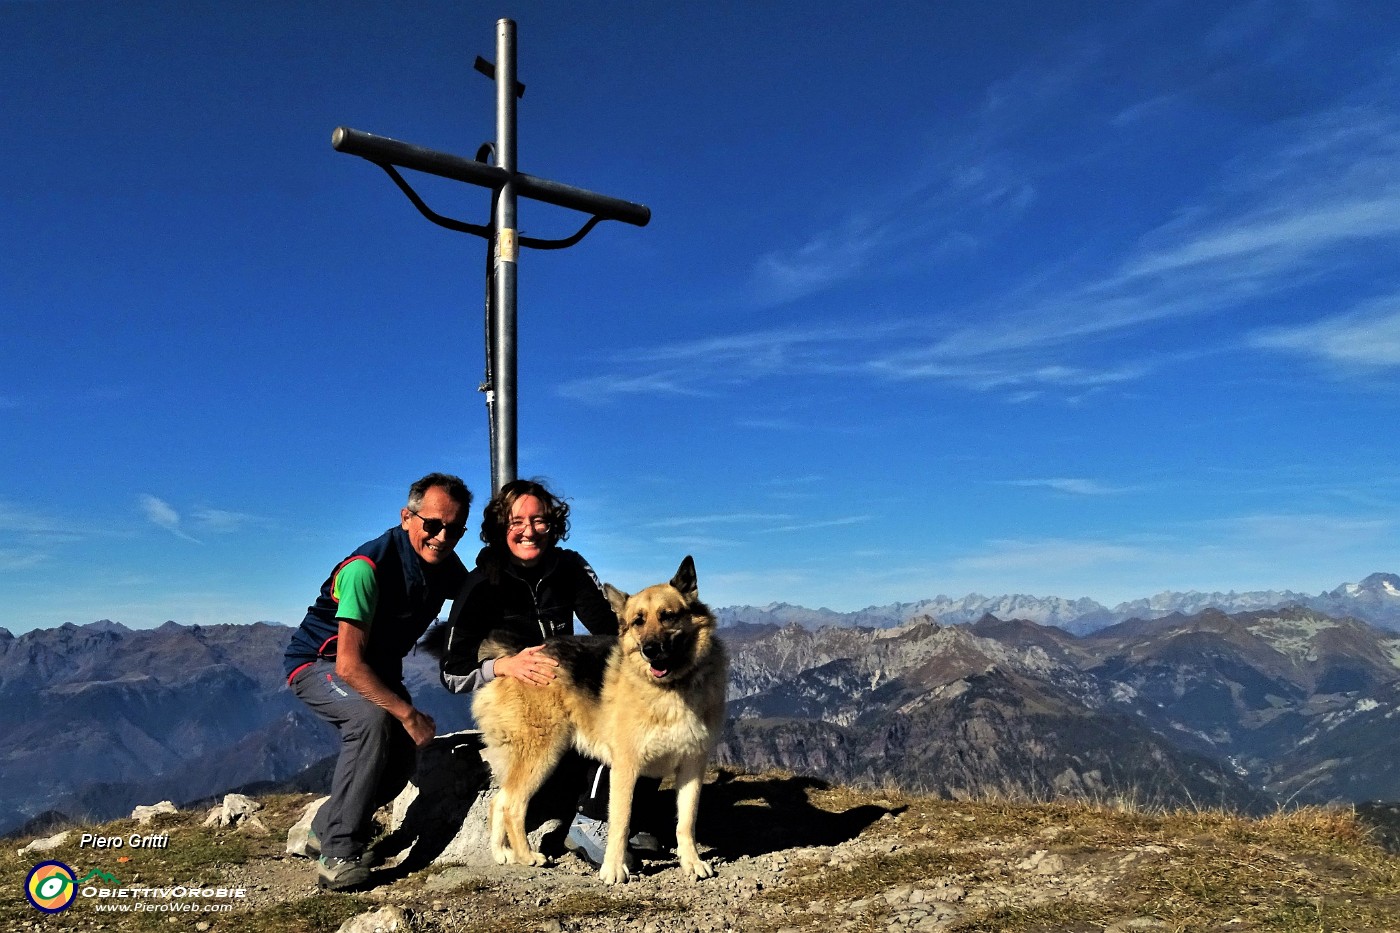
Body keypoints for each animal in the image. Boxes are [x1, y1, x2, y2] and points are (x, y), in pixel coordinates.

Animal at [473, 554, 728, 885]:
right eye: (638, 621)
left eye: (668, 616)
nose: (650, 650)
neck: (671, 688)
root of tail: (513, 658)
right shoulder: (625, 768)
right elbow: (620, 822)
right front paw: (613, 869)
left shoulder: (692, 767)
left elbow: (686, 822)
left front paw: (692, 862)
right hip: (542, 753)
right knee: (513, 805)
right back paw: (527, 856)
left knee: (498, 801)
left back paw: (502, 853)